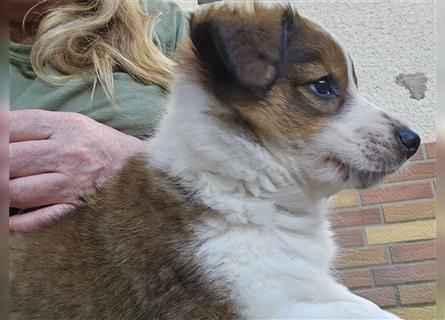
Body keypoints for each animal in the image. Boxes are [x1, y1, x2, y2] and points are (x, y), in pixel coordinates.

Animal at [10, 3, 420, 320]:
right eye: (322, 85)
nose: (412, 141)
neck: (252, 191)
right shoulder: (248, 304)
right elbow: (359, 312)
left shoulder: (309, 283)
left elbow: (364, 306)